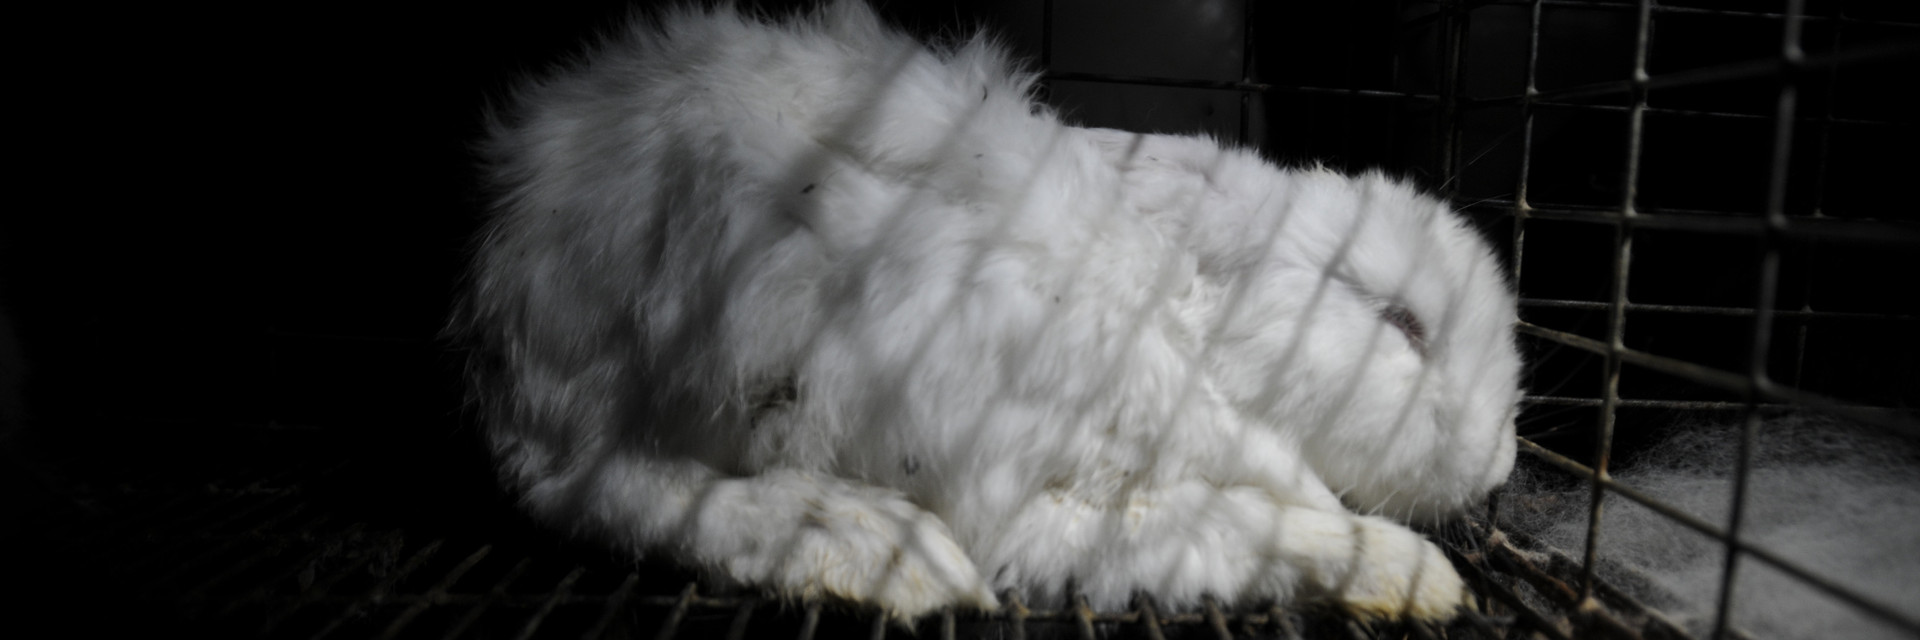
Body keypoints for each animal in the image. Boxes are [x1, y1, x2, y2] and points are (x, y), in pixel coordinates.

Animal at [458, 0, 1522, 623]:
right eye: (1402, 323)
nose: (1503, 465)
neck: (1186, 324)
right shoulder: (1051, 494)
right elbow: (1238, 528)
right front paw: (1416, 577)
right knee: (615, 494)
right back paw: (883, 553)